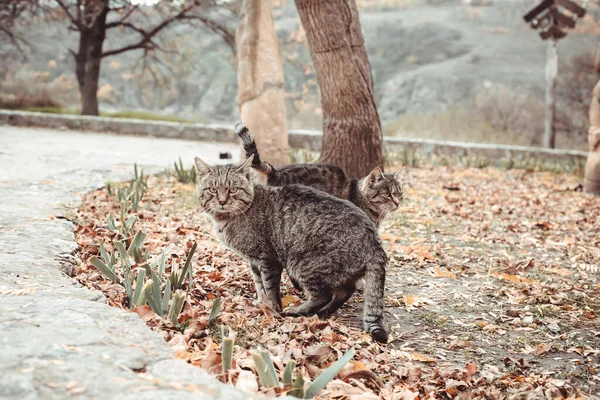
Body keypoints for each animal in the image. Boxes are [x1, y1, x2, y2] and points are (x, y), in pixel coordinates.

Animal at [195, 155, 386, 342]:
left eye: (233, 189)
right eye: (213, 190)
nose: (222, 201)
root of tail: (375, 242)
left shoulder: (268, 258)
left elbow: (270, 286)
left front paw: (272, 309)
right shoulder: (254, 260)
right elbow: (259, 284)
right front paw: (261, 303)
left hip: (305, 264)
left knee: (324, 295)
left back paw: (298, 311)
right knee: (344, 291)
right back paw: (323, 312)